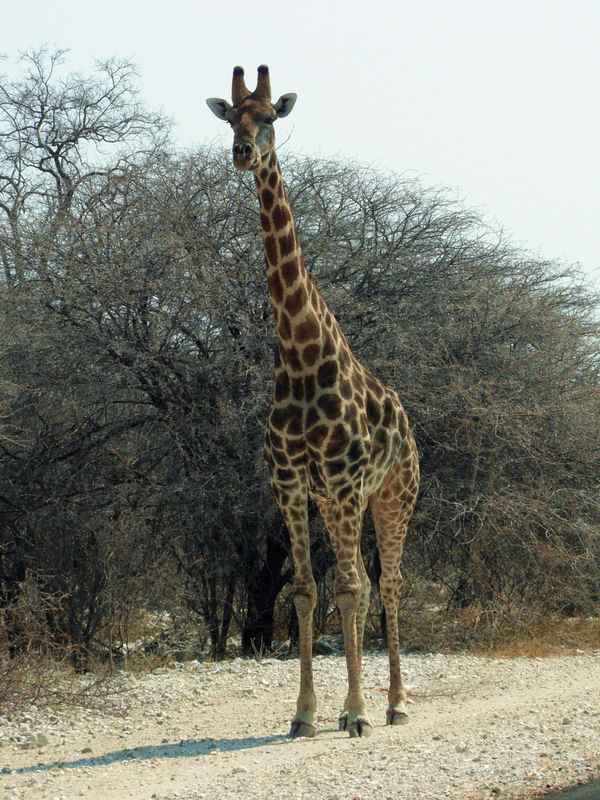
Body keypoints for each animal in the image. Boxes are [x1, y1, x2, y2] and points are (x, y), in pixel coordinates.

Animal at [207, 65, 420, 739]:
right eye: (231, 118)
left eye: (271, 116)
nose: (243, 153)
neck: (299, 358)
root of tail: (409, 424)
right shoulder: (292, 481)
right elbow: (303, 590)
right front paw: (304, 714)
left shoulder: (348, 481)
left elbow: (350, 588)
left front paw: (356, 712)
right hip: (334, 502)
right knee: (359, 583)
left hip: (394, 495)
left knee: (388, 584)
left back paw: (394, 703)